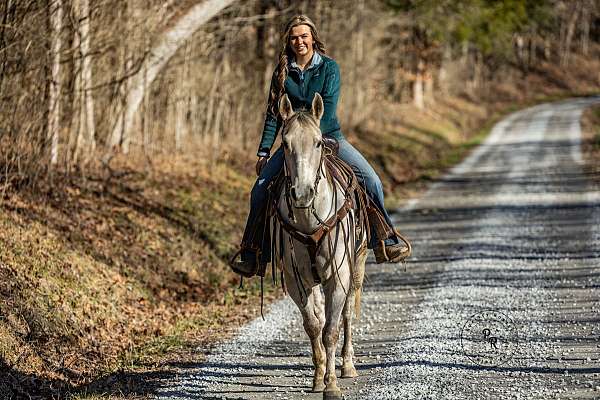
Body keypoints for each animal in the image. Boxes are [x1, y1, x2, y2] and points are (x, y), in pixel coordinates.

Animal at [270, 92, 368, 398]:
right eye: (285, 143)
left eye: (317, 142)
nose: (302, 194)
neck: (308, 220)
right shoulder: (296, 281)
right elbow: (314, 326)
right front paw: (318, 378)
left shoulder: (337, 277)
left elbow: (331, 330)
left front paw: (332, 385)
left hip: (356, 265)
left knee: (346, 313)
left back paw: (347, 365)